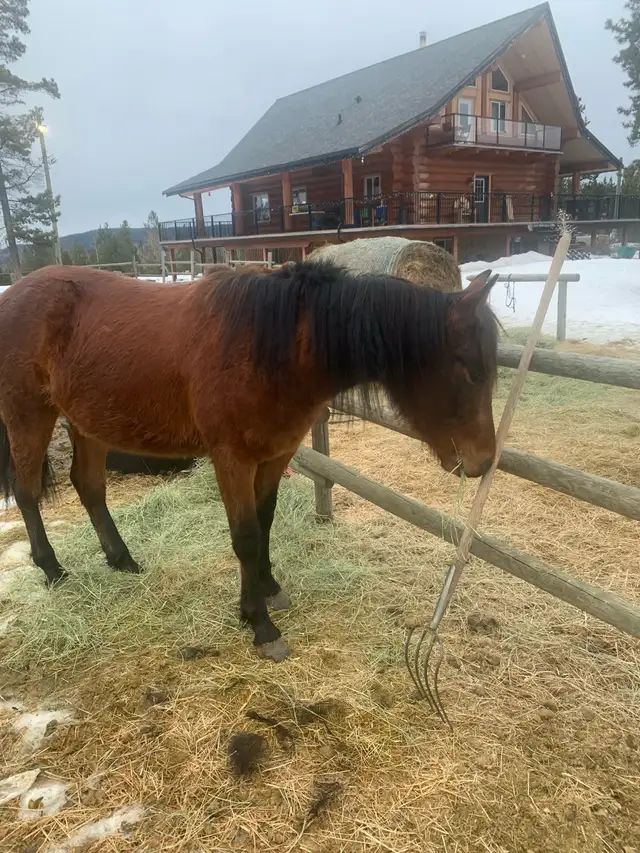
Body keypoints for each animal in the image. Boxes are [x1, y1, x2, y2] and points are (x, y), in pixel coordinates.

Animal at [0, 261, 499, 661]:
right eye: (471, 370)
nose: (484, 461)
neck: (269, 349)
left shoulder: (275, 456)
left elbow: (265, 523)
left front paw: (266, 589)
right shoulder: (232, 460)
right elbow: (245, 537)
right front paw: (260, 624)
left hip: (87, 423)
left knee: (89, 486)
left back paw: (122, 559)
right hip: (30, 416)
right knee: (27, 493)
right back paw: (52, 569)